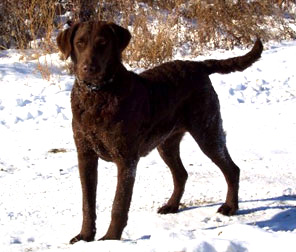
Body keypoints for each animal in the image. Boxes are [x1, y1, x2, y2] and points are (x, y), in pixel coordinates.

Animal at [56, 21, 262, 242]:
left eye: (103, 43)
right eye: (80, 43)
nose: (89, 68)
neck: (97, 97)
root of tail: (197, 65)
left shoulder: (126, 160)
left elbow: (119, 204)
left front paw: (110, 239)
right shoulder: (85, 155)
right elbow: (87, 203)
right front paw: (85, 236)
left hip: (207, 131)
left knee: (232, 169)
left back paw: (230, 207)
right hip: (166, 142)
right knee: (181, 174)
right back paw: (172, 205)